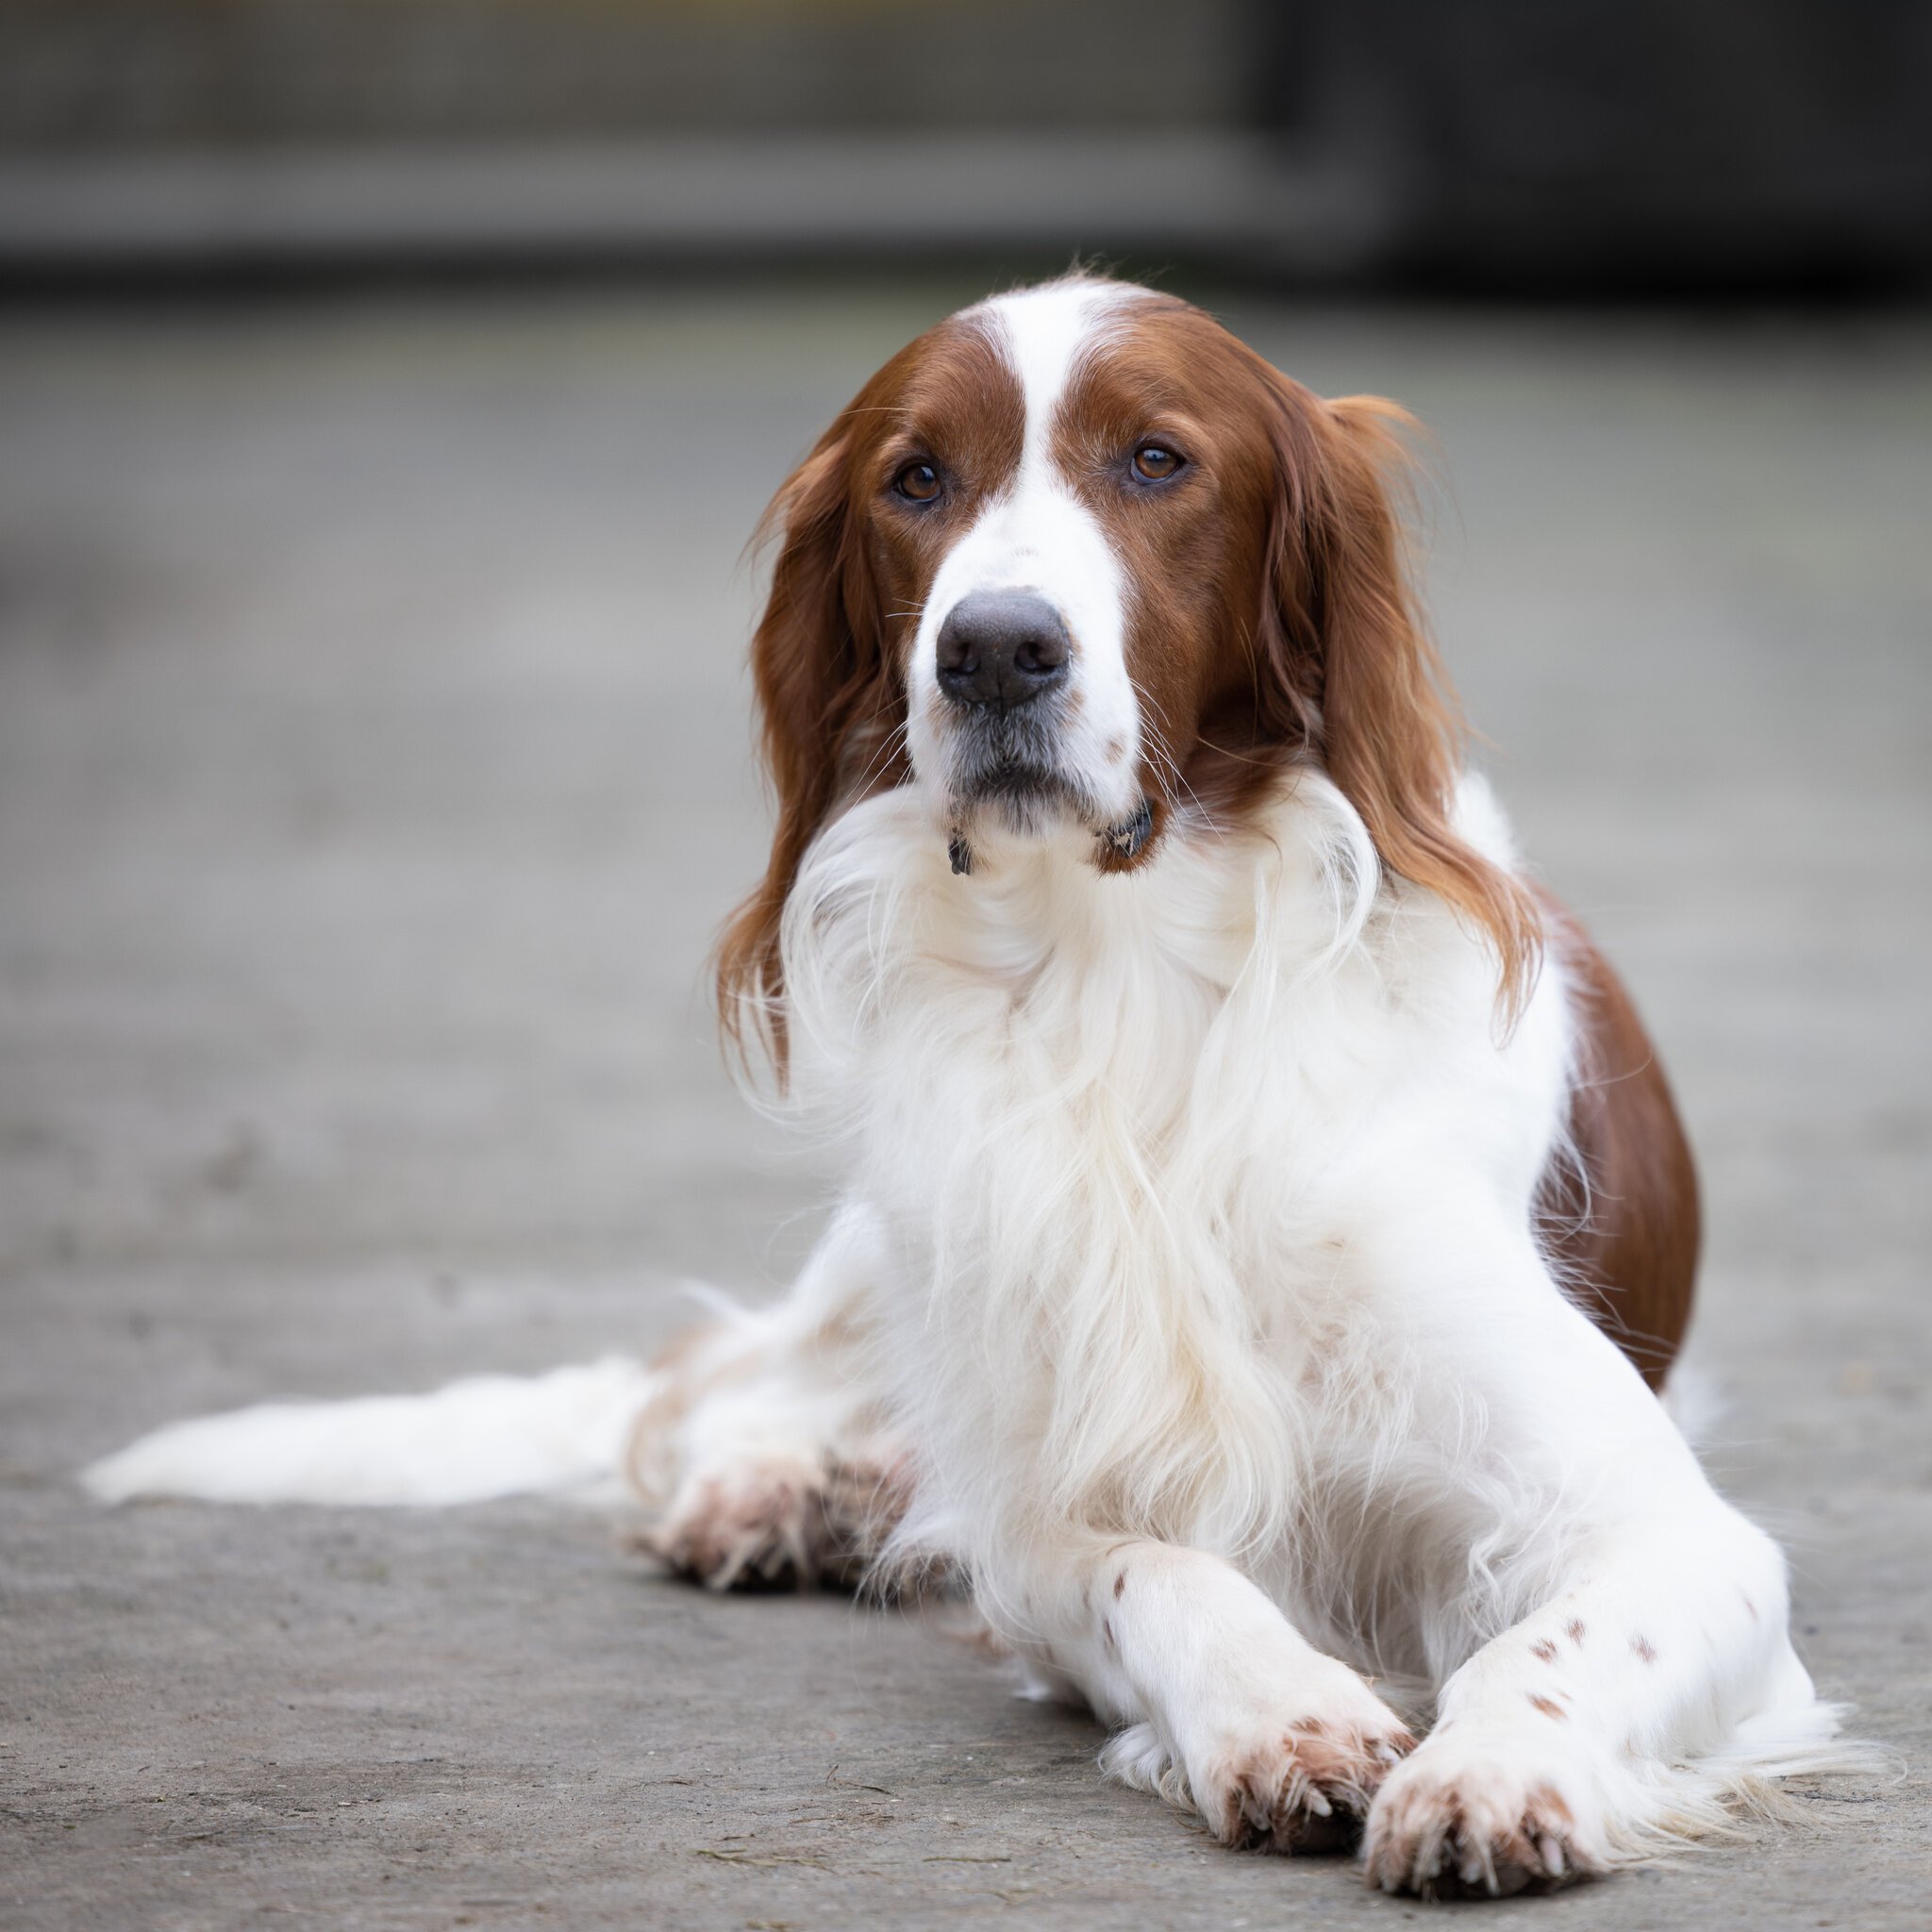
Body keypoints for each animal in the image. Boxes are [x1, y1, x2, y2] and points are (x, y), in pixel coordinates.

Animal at [91, 275, 1870, 1901]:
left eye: (1156, 460)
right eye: (915, 479)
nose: (994, 649)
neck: (1124, 977)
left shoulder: (1669, 1524)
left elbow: (1550, 1639)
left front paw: (1489, 1770)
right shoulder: (1039, 1532)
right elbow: (1151, 1569)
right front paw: (1286, 1716)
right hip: (903, 1239)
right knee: (716, 1388)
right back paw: (776, 1492)